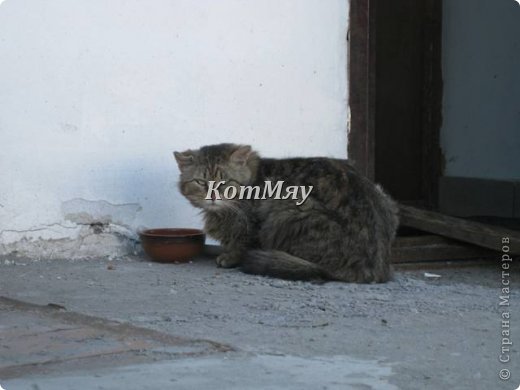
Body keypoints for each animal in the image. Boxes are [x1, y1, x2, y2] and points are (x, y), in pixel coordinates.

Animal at [175, 143, 398, 284]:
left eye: (225, 182)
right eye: (201, 182)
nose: (213, 196)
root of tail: (375, 268)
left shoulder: (251, 225)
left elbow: (242, 242)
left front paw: (230, 257)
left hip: (289, 208)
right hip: (386, 198)